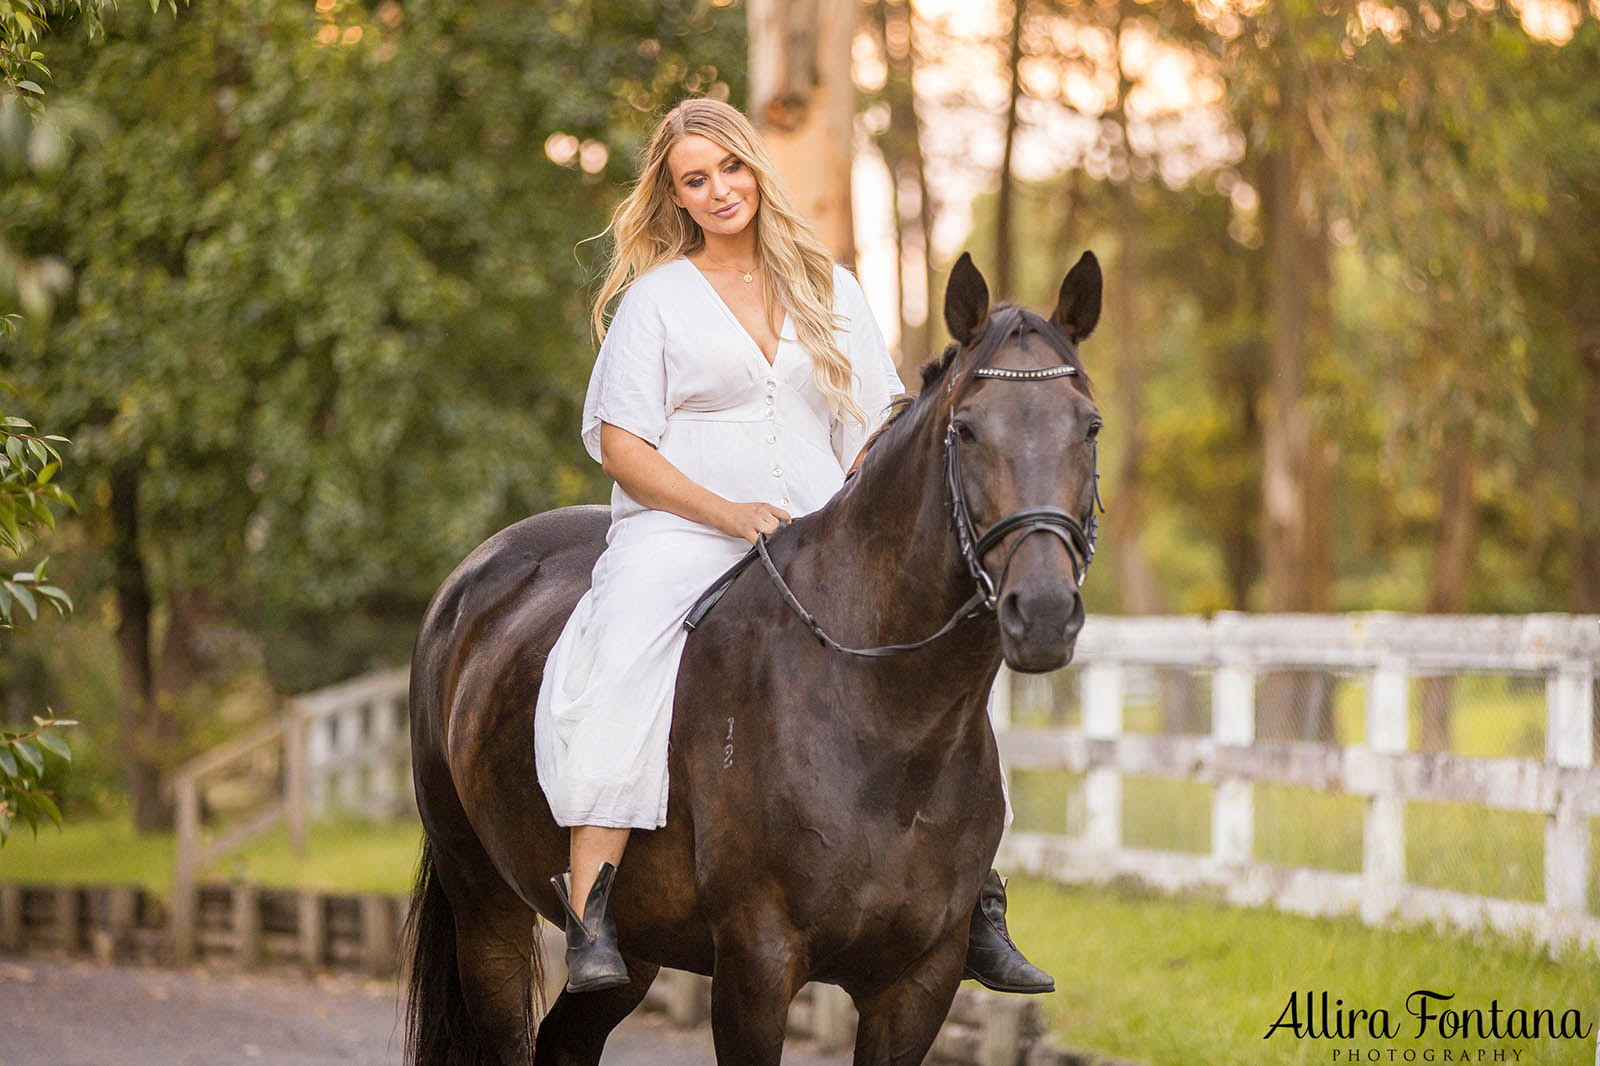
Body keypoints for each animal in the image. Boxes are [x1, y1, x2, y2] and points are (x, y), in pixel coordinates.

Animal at [403, 251, 1100, 1062]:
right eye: (967, 430)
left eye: (1089, 427)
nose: (1043, 611)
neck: (884, 713)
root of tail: (470, 579)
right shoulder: (756, 965)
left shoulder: (919, 983)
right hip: (485, 905)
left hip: (638, 942)